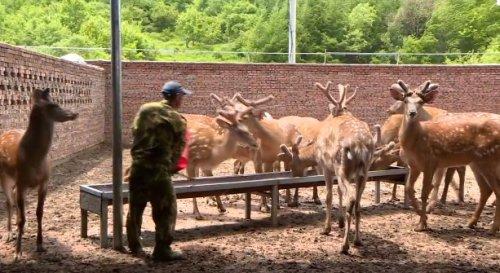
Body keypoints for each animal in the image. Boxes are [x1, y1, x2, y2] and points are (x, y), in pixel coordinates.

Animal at [0, 87, 78, 260]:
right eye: (54, 105)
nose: (75, 113)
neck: (35, 160)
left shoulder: (44, 181)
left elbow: (39, 212)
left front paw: (40, 245)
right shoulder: (22, 182)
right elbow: (21, 218)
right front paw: (17, 253)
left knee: (14, 200)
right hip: (4, 176)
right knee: (8, 201)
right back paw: (8, 234)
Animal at [312, 81, 376, 253]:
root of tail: (359, 145)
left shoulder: (326, 166)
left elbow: (329, 196)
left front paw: (326, 228)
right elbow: (339, 192)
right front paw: (340, 223)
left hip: (342, 168)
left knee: (351, 199)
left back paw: (344, 246)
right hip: (364, 172)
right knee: (358, 204)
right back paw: (358, 240)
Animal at [390, 79, 500, 233]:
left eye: (421, 102)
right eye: (405, 100)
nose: (412, 113)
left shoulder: (431, 162)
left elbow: (425, 191)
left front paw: (422, 224)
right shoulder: (414, 166)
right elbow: (409, 189)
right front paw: (422, 217)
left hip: (489, 160)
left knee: (497, 190)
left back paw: (493, 228)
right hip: (477, 163)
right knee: (486, 189)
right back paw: (471, 223)